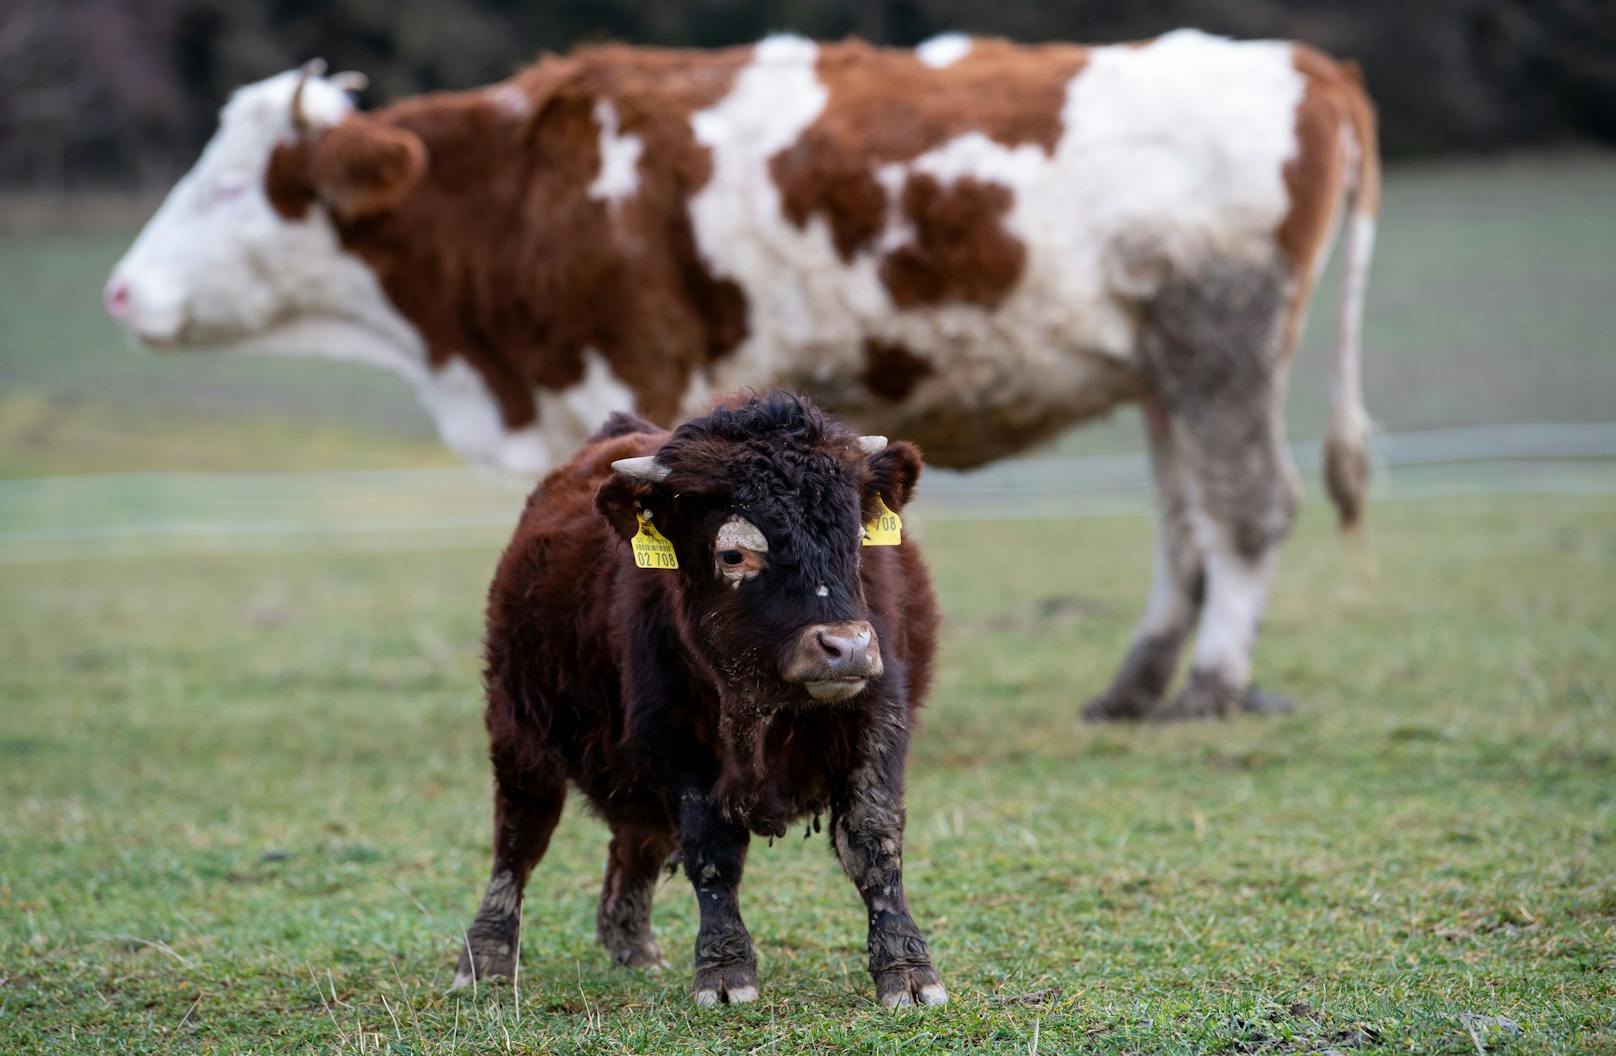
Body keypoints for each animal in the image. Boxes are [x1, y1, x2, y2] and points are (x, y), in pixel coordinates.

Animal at [110, 34, 1376, 724]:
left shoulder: (638, 373)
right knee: (1183, 521)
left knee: (1246, 509)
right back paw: (1134, 684)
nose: (121, 291)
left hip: (1217, 344)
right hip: (1163, 372)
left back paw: (1210, 684)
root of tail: (1298, 61)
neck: (530, 190)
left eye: (232, 186)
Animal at [455, 392, 943, 1002]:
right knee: (519, 837)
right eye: (734, 556)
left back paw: (632, 945)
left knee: (635, 843)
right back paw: (487, 958)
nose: (847, 647)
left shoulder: (876, 719)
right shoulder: (680, 743)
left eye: (856, 541)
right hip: (520, 731)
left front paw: (907, 969)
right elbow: (712, 853)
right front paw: (726, 970)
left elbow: (873, 840)